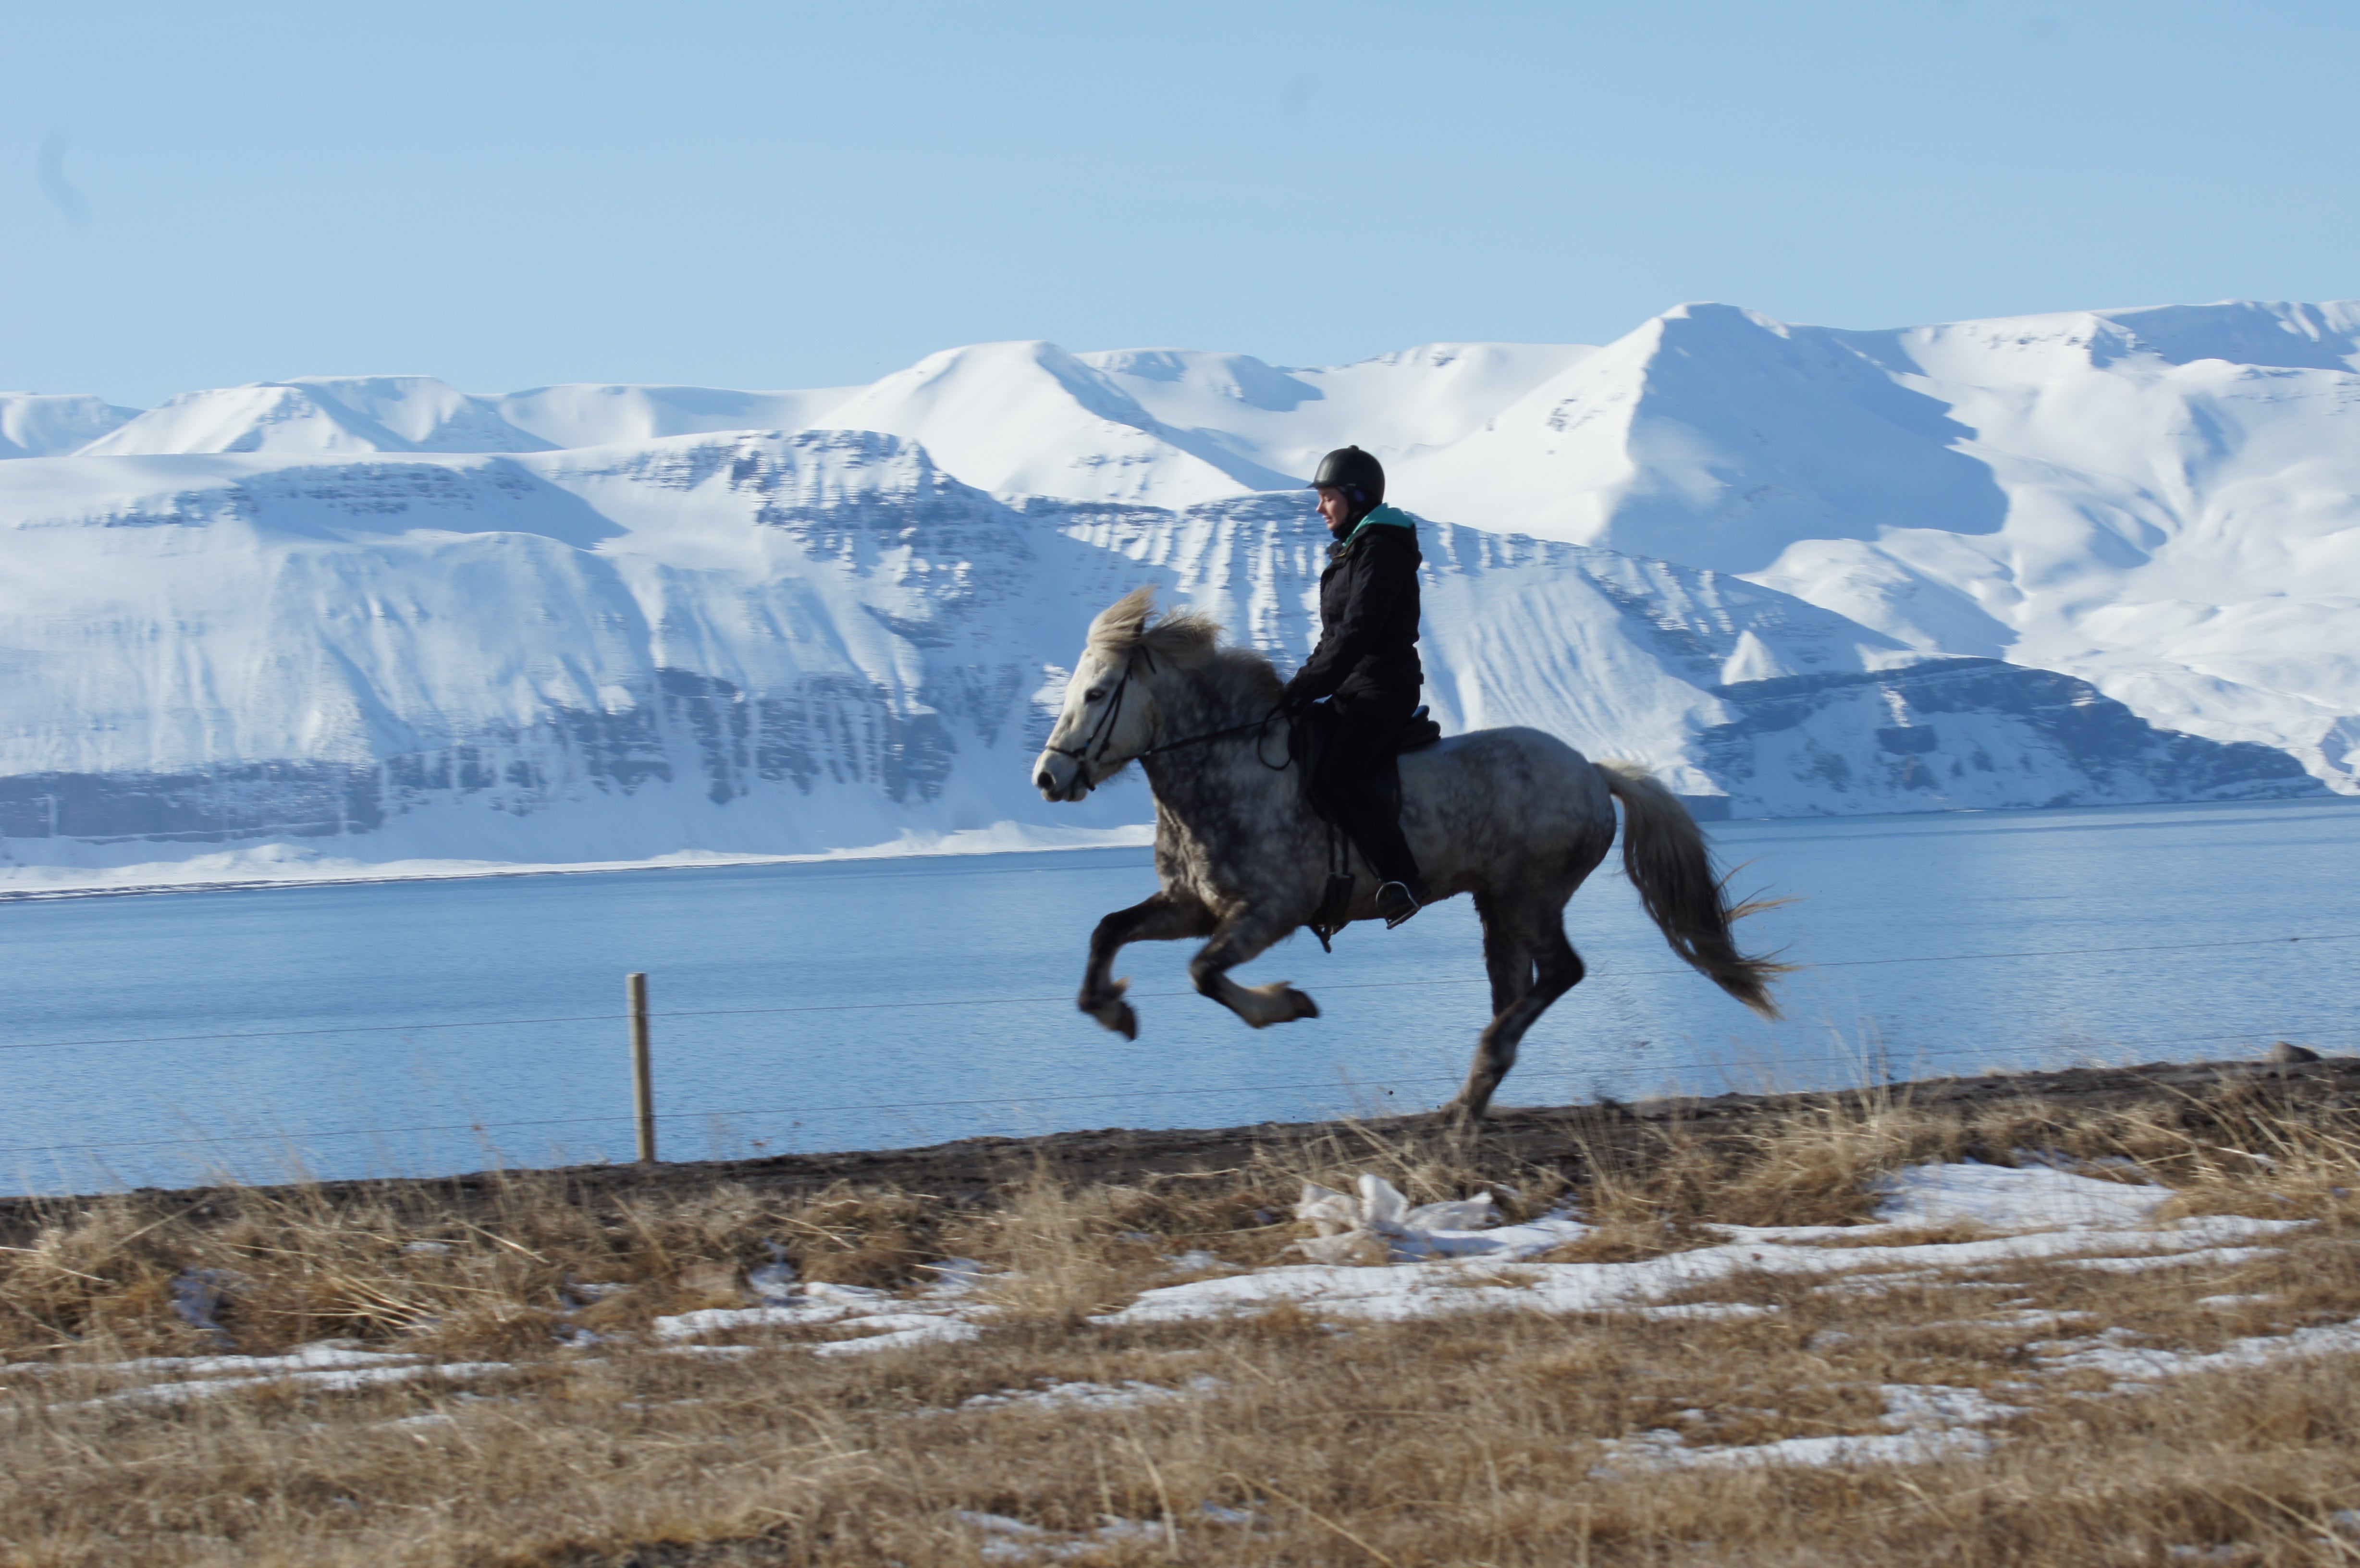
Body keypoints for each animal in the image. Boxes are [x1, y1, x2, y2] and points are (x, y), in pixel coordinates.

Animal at [1031, 587, 1785, 1119]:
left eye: (1097, 693)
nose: (1047, 779)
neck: (1227, 763)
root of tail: (1593, 773)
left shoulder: (1267, 912)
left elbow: (1202, 974)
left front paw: (1287, 1004)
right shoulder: (1192, 906)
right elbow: (1110, 931)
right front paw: (1112, 1010)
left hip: (1530, 895)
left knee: (1560, 973)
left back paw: (1480, 1069)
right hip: (1497, 906)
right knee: (1517, 988)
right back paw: (1467, 1099)